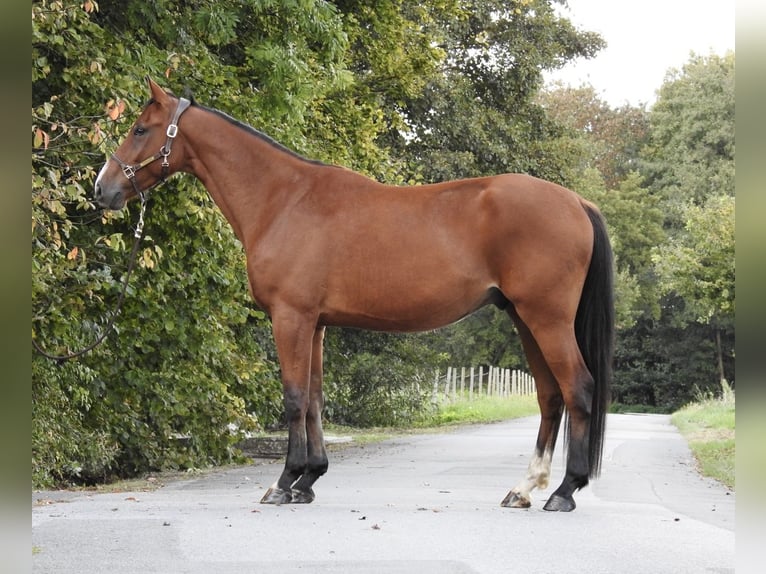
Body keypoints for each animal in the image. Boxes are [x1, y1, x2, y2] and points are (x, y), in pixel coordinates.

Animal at [93, 77, 616, 512]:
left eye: (140, 129)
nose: (102, 189)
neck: (284, 200)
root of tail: (576, 201)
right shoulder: (316, 324)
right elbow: (316, 398)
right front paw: (308, 480)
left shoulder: (291, 317)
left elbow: (294, 397)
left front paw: (282, 483)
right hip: (525, 320)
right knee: (550, 397)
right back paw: (523, 489)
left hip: (546, 319)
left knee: (578, 389)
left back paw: (565, 491)